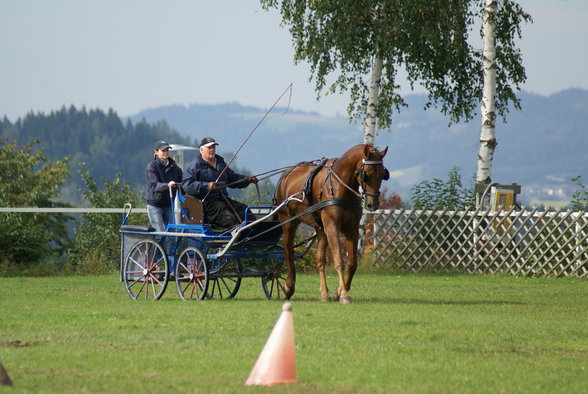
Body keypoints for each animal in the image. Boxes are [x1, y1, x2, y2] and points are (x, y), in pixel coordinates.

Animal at [276, 143, 390, 304]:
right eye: (366, 173)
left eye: (383, 173)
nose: (372, 204)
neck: (339, 184)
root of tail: (286, 175)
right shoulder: (332, 226)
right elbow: (339, 260)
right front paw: (344, 295)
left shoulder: (352, 228)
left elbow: (352, 263)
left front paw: (338, 291)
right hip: (288, 223)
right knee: (288, 253)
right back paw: (288, 286)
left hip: (320, 228)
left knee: (320, 260)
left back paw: (324, 294)